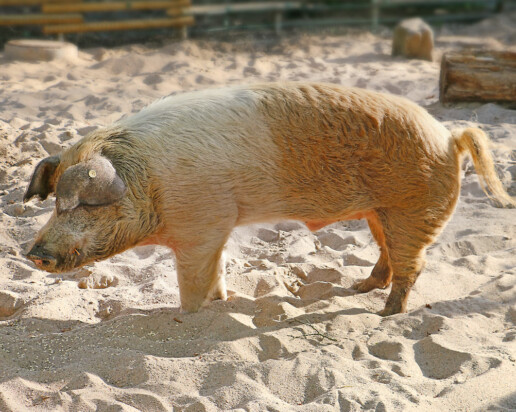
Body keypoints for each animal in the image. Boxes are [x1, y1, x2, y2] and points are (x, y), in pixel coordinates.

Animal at [22, 83, 512, 316]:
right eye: (55, 203)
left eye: (86, 204)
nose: (33, 253)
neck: (151, 183)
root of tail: (448, 135)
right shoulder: (215, 226)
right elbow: (215, 271)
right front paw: (221, 302)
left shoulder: (201, 223)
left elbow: (193, 280)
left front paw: (189, 314)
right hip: (381, 211)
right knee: (388, 254)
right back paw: (360, 288)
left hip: (414, 207)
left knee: (413, 264)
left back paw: (384, 315)